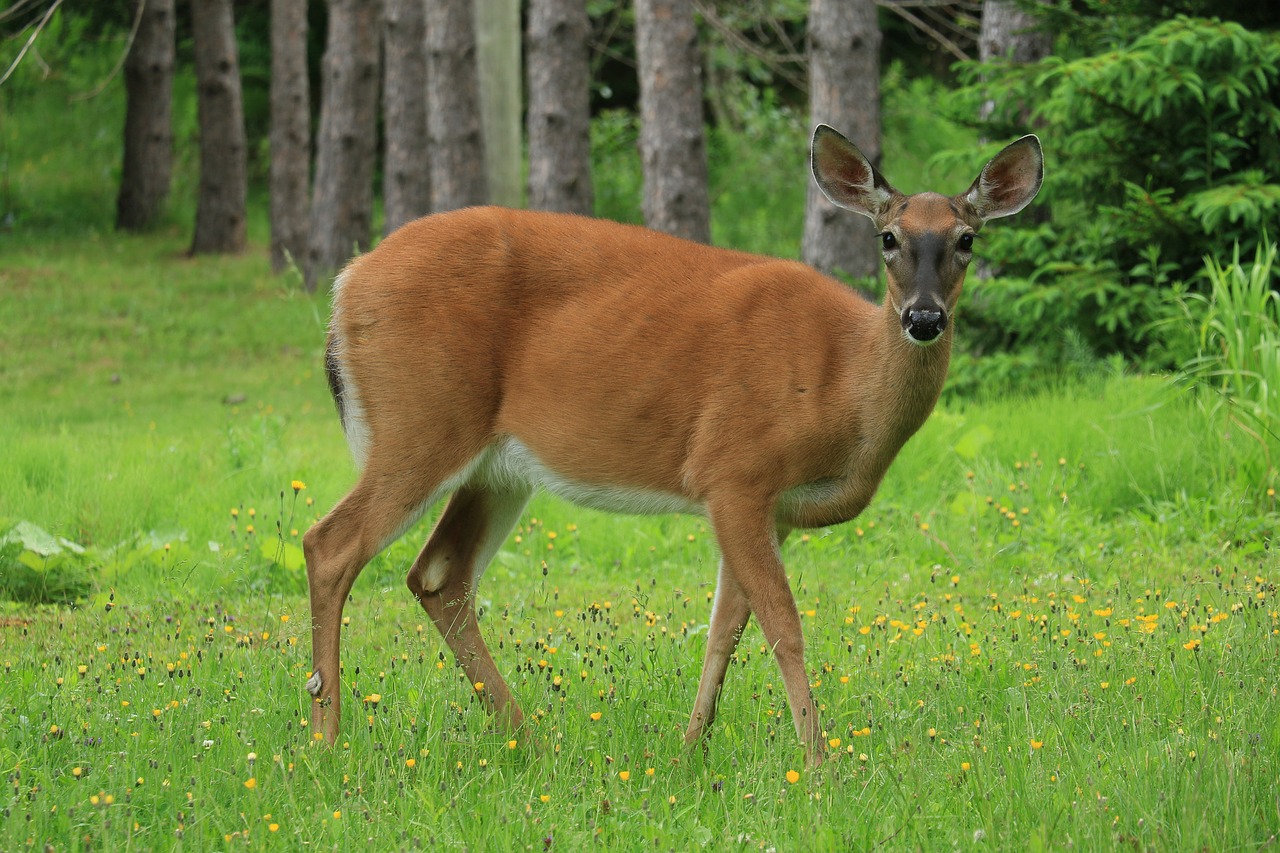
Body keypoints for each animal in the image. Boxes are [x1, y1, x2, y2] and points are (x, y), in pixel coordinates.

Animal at [304, 122, 1044, 758]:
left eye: (967, 239)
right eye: (888, 237)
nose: (924, 317)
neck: (843, 388)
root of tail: (347, 283)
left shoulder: (772, 509)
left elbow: (725, 629)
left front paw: (692, 748)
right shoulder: (735, 470)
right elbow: (783, 626)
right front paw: (818, 761)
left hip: (495, 468)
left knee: (438, 576)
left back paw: (530, 738)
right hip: (421, 420)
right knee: (330, 545)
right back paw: (328, 736)